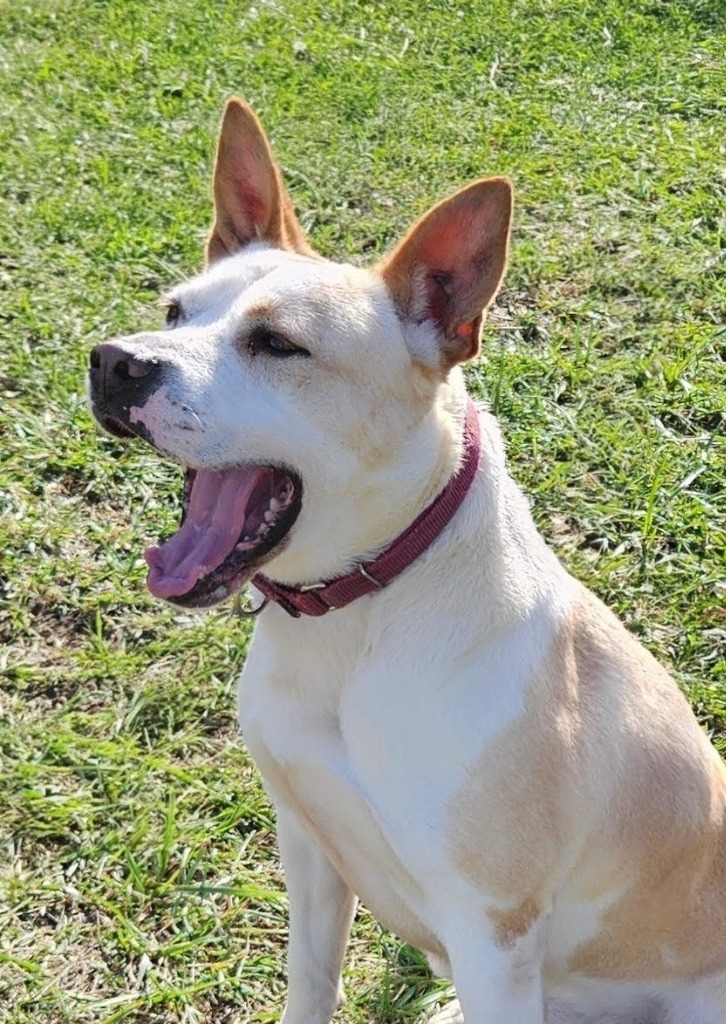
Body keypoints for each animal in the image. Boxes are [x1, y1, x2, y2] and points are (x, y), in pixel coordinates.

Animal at [90, 97, 724, 1024]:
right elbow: (311, 982)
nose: (113, 363)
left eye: (276, 344)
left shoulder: (493, 933)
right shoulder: (309, 841)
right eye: (174, 312)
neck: (357, 615)